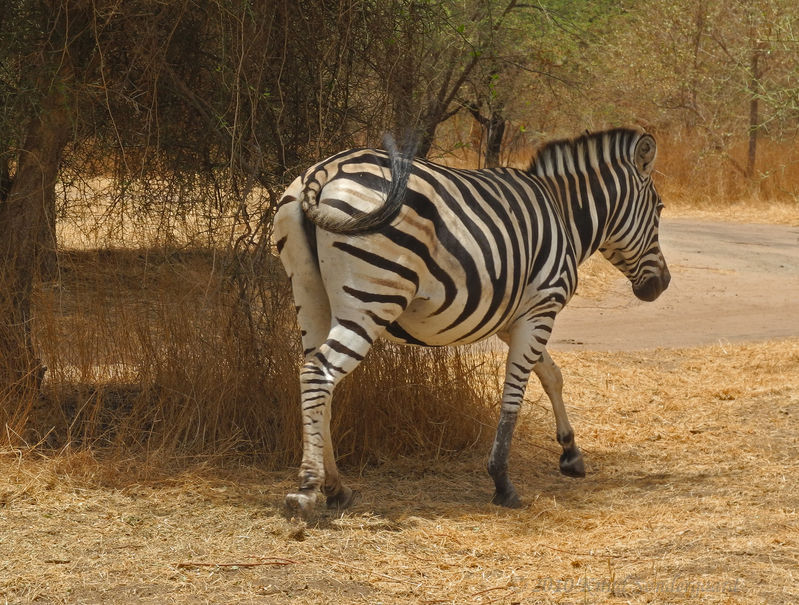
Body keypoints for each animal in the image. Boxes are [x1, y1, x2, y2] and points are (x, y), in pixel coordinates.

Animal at [276, 127, 668, 516]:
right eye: (659, 209)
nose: (662, 285)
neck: (564, 215)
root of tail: (324, 171)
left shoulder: (516, 319)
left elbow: (552, 375)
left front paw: (570, 453)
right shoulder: (541, 307)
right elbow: (515, 393)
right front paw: (502, 481)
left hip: (309, 295)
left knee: (316, 380)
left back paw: (335, 488)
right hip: (371, 299)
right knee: (319, 374)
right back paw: (308, 489)